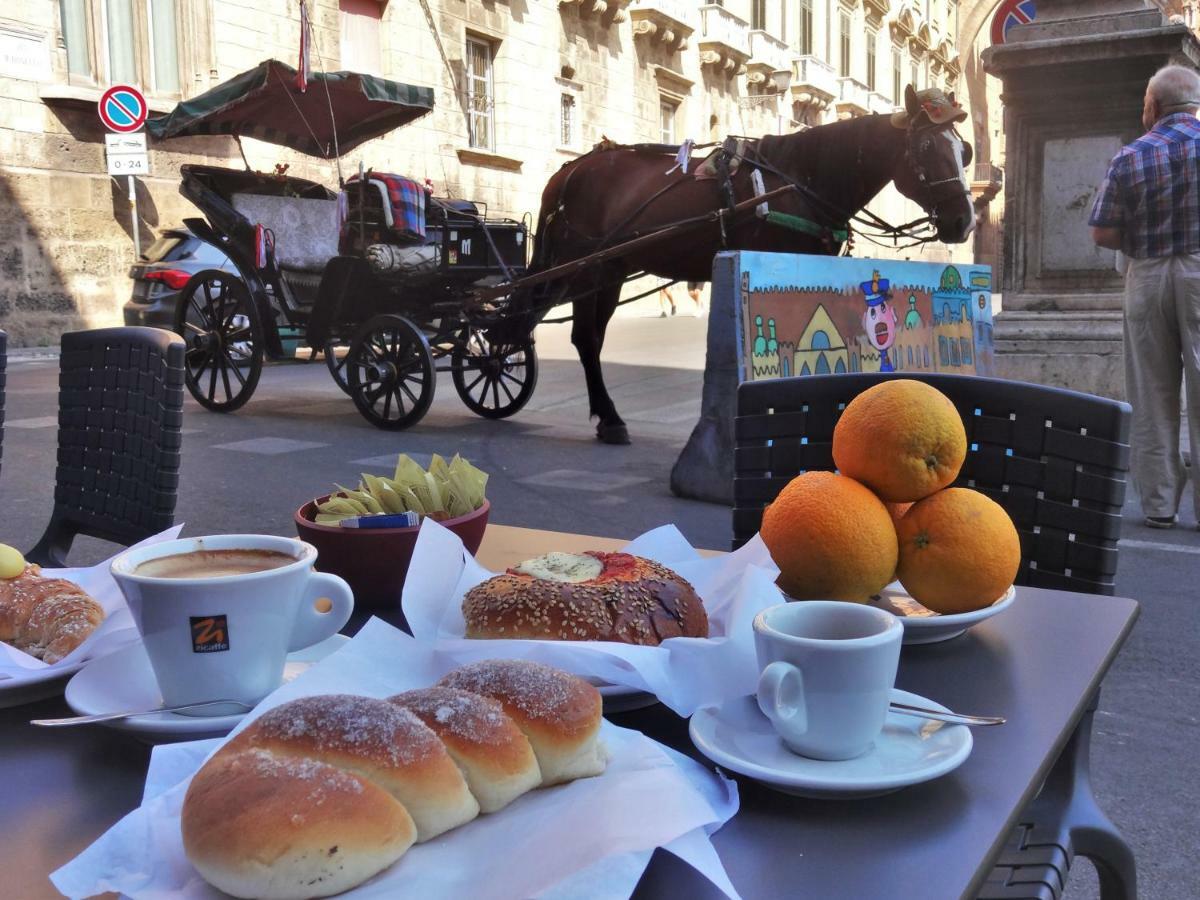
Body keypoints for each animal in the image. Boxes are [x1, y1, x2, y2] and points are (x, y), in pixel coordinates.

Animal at [523, 86, 974, 446]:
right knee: (579, 336)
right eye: (926, 148)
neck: (800, 179)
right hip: (581, 269)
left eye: (963, 151)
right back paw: (607, 416)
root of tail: (568, 171)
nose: (964, 221)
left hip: (608, 271)